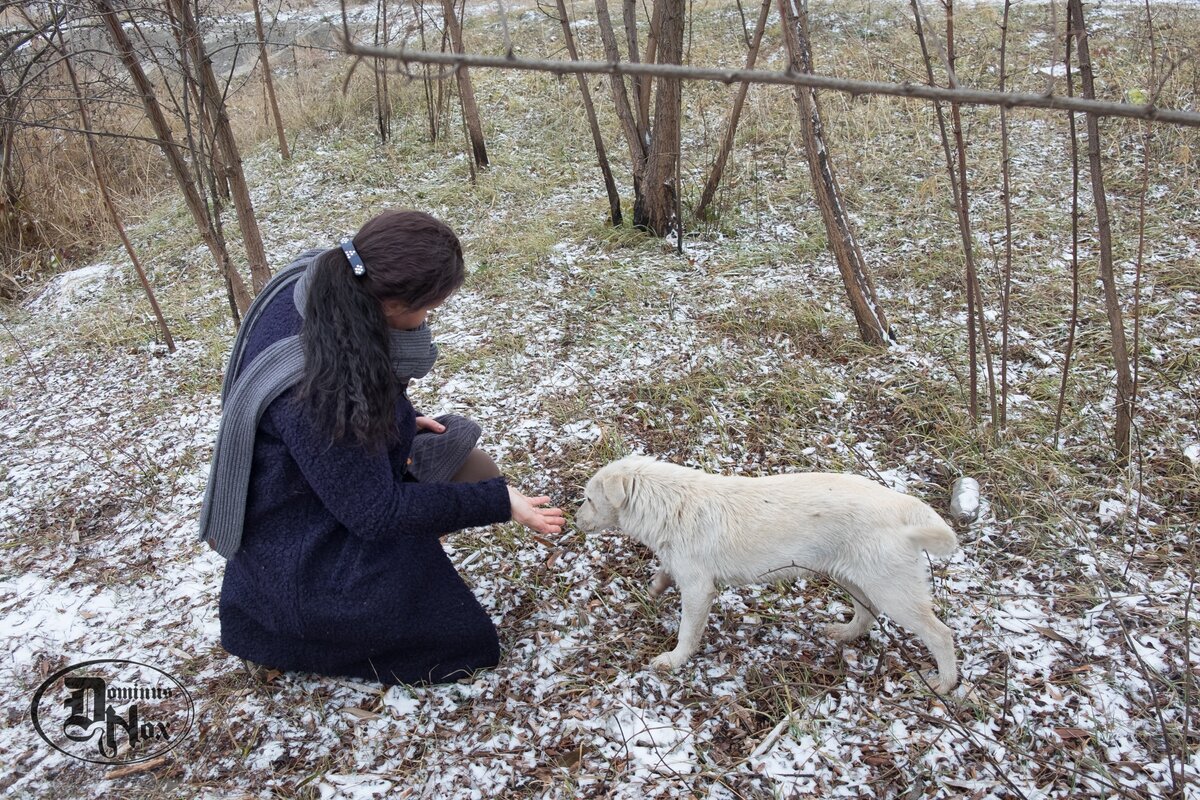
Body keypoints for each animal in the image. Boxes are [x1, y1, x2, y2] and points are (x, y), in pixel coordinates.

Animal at [576, 453, 960, 690]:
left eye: (590, 499)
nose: (577, 521)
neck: (669, 504)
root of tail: (900, 503)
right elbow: (665, 574)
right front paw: (656, 586)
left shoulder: (699, 590)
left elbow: (687, 632)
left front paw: (674, 660)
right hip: (852, 577)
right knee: (866, 613)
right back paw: (843, 633)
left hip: (894, 591)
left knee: (940, 634)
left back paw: (945, 683)